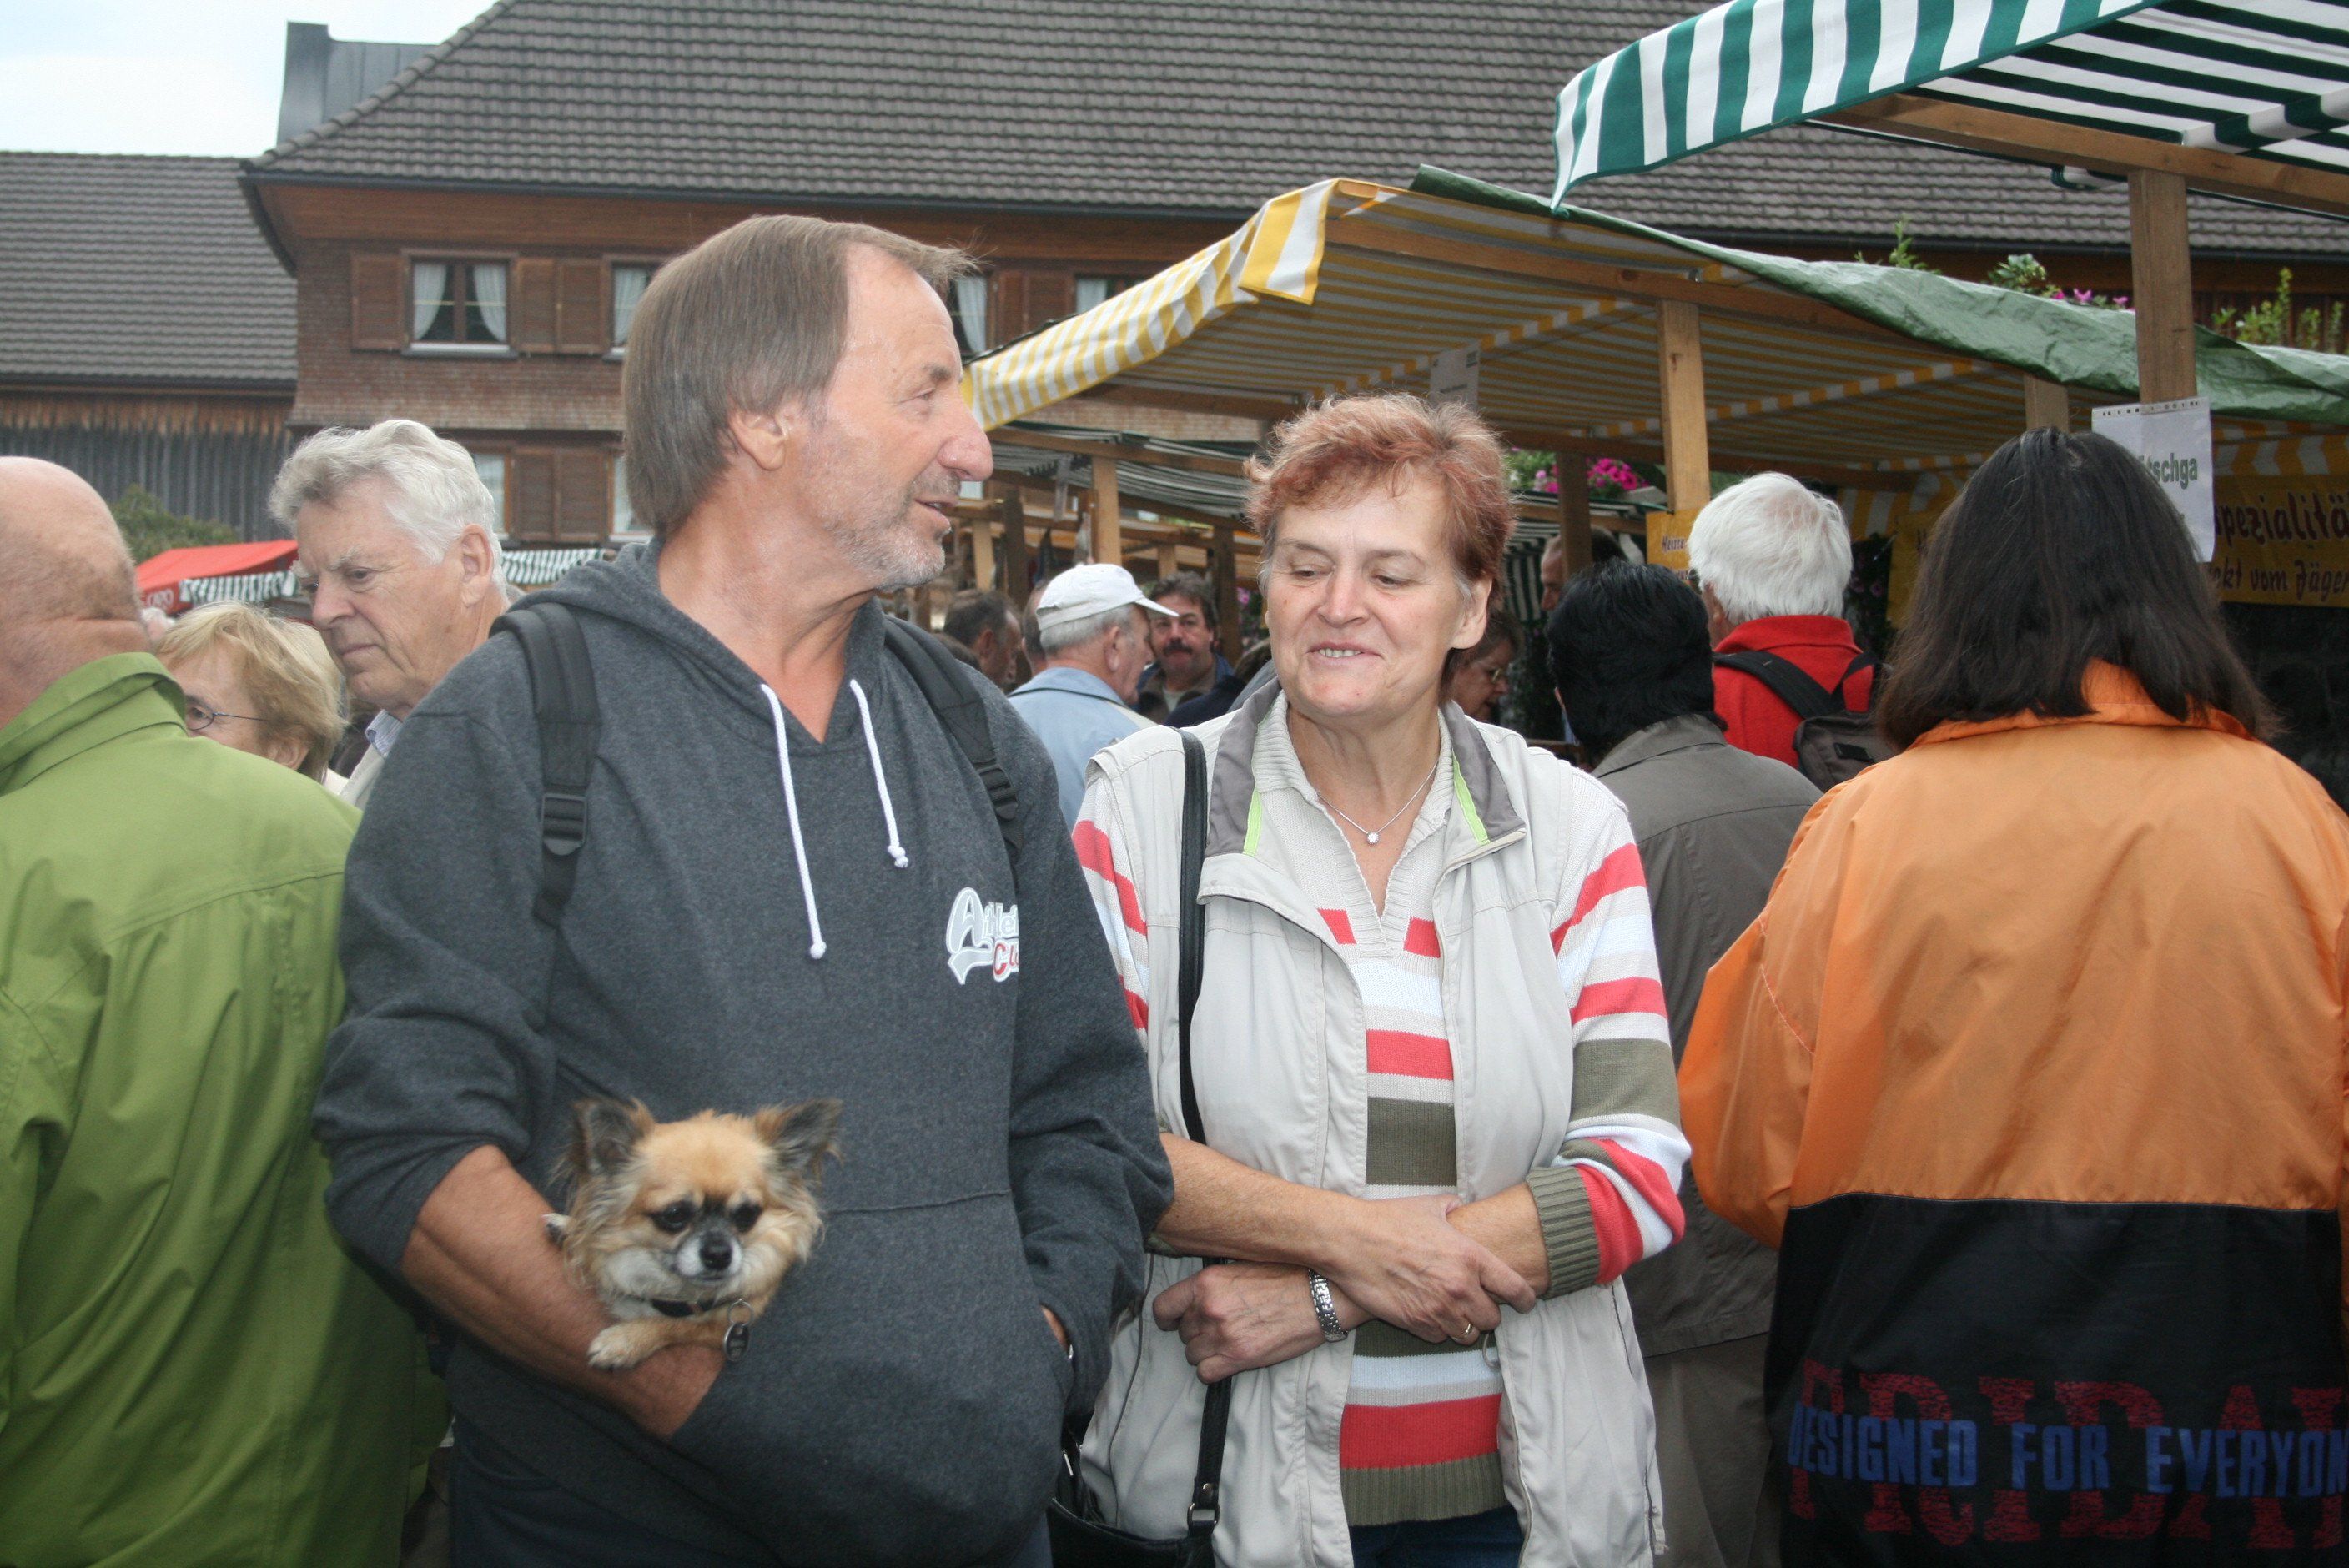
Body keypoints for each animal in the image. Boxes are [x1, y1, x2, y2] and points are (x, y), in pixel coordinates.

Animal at [544, 1096, 842, 1370]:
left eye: (747, 1214)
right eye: (675, 1214)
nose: (719, 1254)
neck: (676, 1293)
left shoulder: (724, 1322)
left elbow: (676, 1326)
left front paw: (625, 1341)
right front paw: (570, 1228)